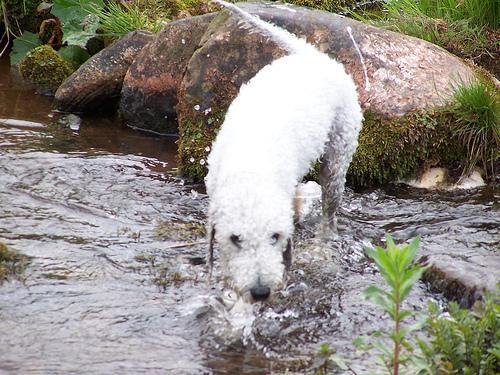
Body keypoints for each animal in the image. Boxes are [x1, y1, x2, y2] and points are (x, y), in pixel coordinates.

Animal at [205, 2, 362, 302]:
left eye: (275, 237)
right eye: (235, 239)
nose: (260, 291)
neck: (250, 167)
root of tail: (314, 56)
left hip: (340, 147)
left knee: (330, 210)